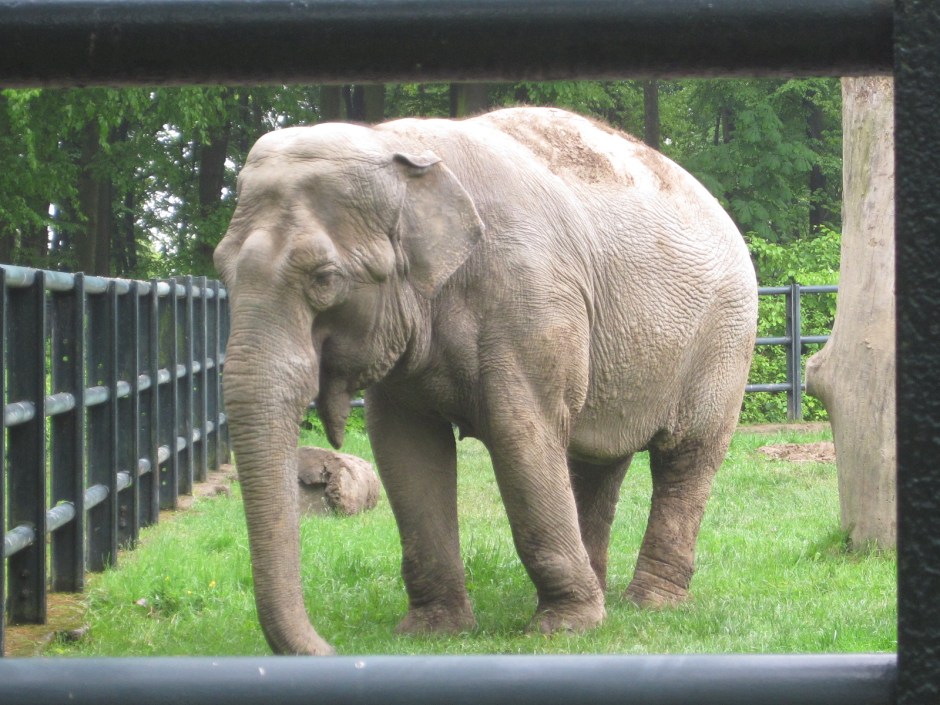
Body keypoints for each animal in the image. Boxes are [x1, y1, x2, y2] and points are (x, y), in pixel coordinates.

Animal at [214, 106, 758, 655]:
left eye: (325, 279)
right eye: (220, 268)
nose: (334, 648)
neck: (397, 143)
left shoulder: (530, 300)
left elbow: (521, 437)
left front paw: (562, 629)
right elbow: (405, 449)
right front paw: (432, 631)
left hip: (725, 341)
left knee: (685, 458)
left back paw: (651, 604)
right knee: (598, 461)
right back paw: (604, 594)